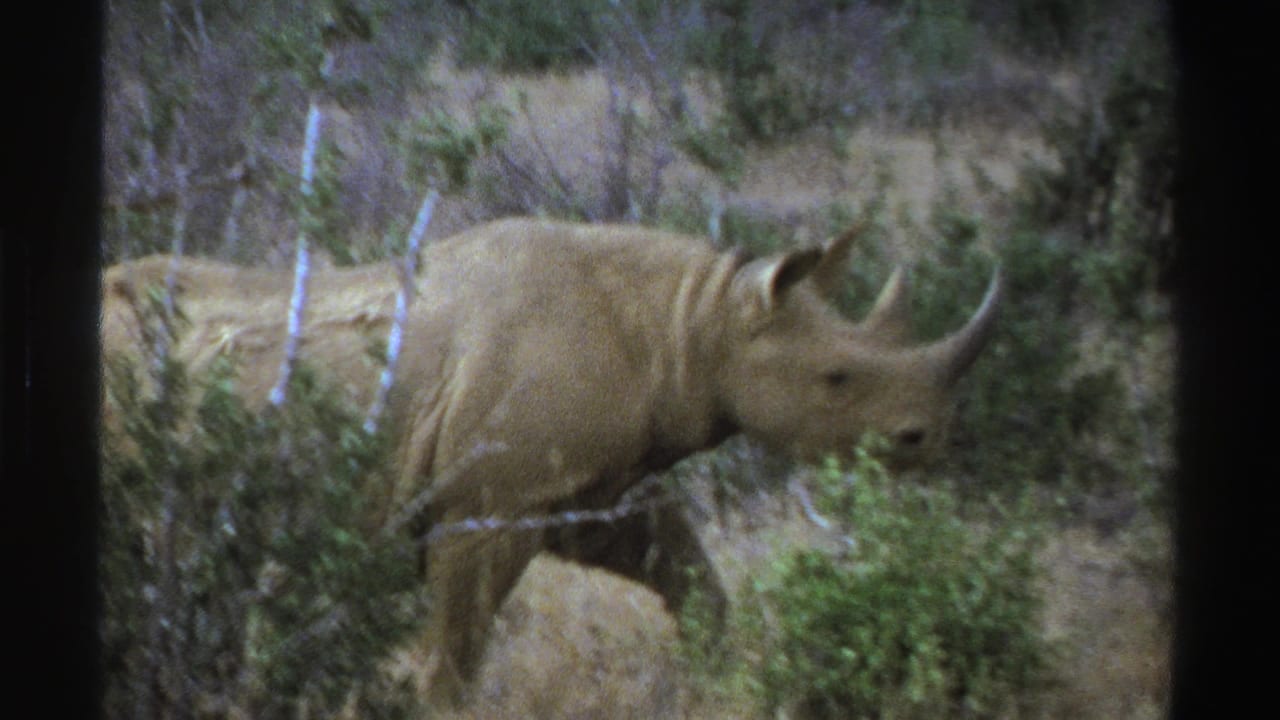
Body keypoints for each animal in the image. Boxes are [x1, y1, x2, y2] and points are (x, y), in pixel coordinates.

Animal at [101, 217, 1001, 704]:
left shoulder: (580, 484)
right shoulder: (489, 503)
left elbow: (681, 563)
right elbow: (456, 649)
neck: (696, 321)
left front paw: (718, 672)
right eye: (837, 378)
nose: (932, 437)